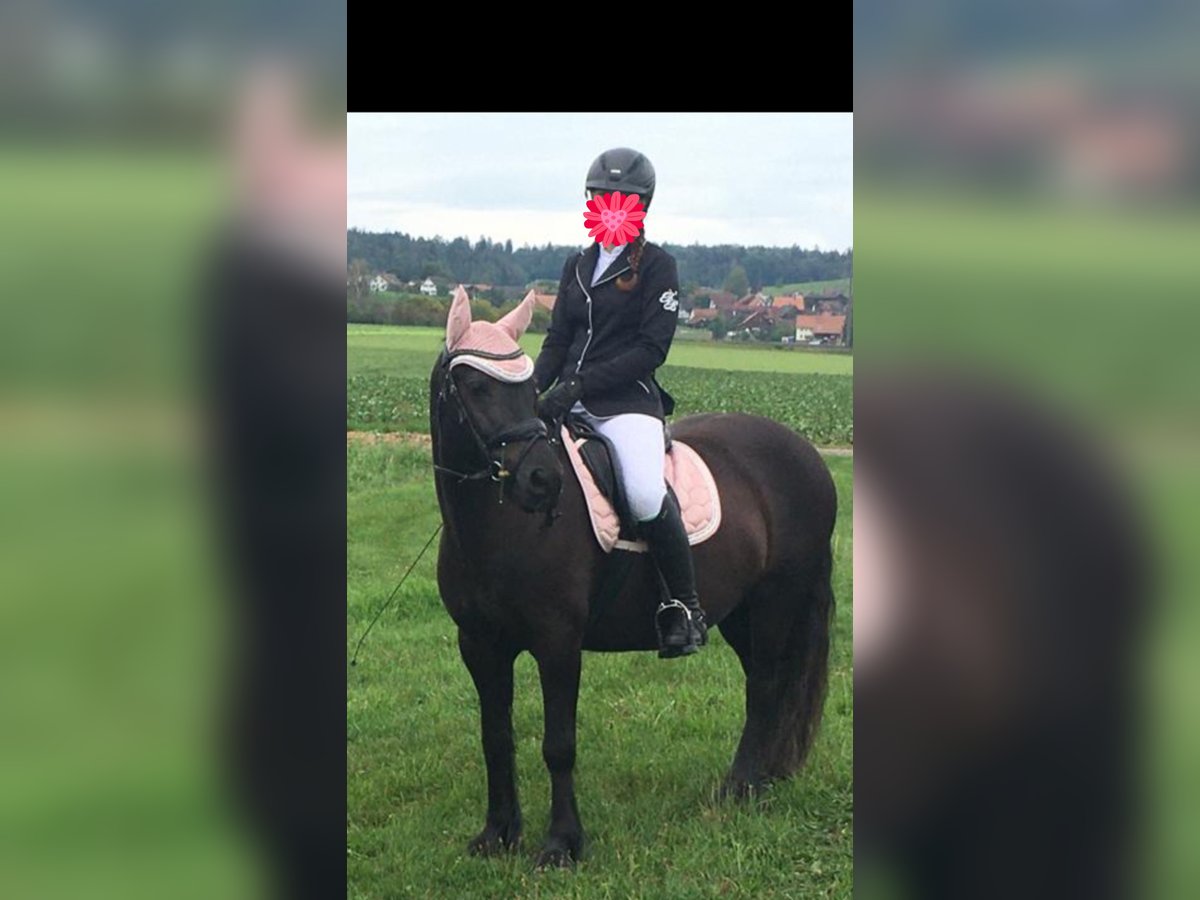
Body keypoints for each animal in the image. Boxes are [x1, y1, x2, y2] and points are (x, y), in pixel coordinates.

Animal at [429, 287, 838, 867]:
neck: (500, 526)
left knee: (767, 684)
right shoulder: (480, 644)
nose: (542, 480)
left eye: (530, 391)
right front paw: (498, 835)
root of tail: (806, 453)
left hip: (776, 602)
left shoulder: (558, 642)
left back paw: (741, 786)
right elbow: (495, 737)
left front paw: (562, 845)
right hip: (738, 612)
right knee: (762, 685)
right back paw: (754, 781)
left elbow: (558, 744)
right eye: (477, 387)